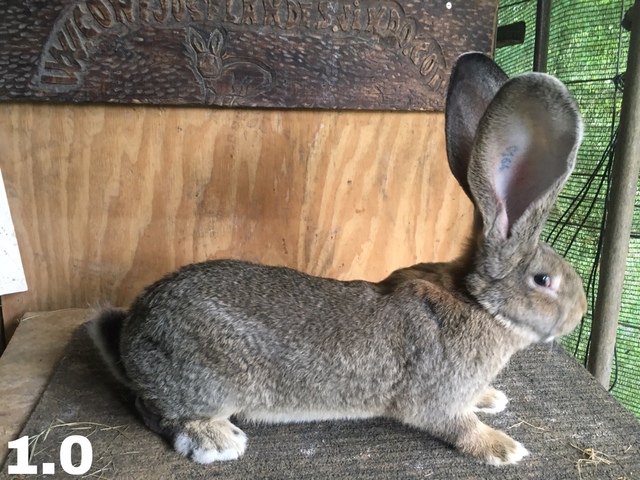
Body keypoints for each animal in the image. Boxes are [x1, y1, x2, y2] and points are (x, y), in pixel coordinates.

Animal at [89, 51, 584, 464]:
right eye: (543, 280)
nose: (579, 313)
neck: (477, 302)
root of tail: (132, 335)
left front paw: (491, 398)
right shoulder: (435, 399)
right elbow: (457, 425)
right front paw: (503, 447)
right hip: (206, 384)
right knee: (154, 407)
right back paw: (215, 440)